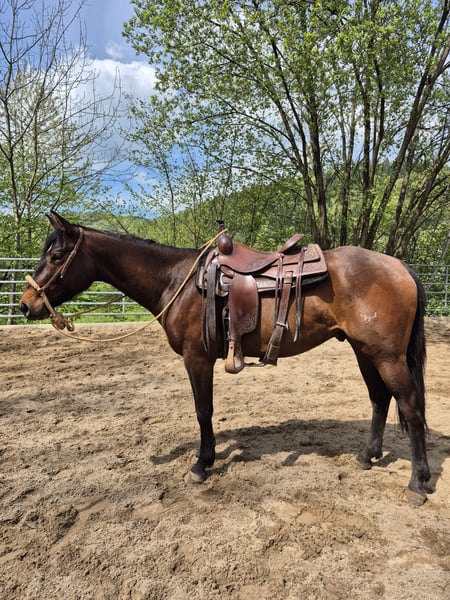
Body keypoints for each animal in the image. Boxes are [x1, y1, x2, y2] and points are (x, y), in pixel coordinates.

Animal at [19, 212, 431, 505]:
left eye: (56, 255)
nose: (25, 305)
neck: (178, 282)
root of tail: (400, 267)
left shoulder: (197, 359)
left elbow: (203, 410)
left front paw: (201, 464)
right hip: (364, 351)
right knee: (379, 399)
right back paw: (368, 455)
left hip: (387, 356)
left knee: (410, 407)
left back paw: (418, 482)